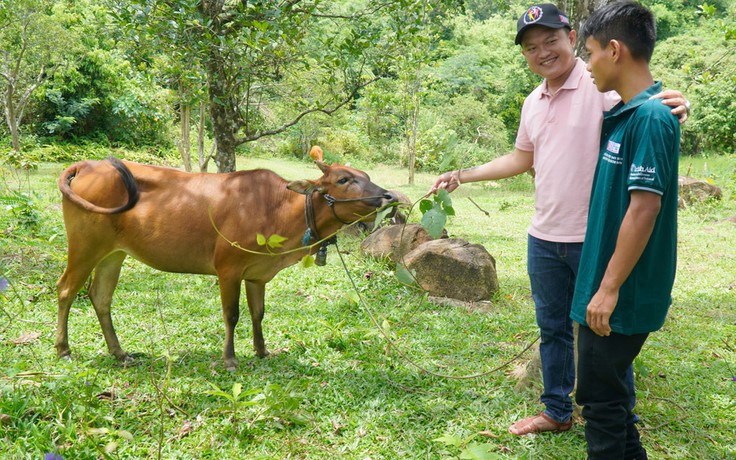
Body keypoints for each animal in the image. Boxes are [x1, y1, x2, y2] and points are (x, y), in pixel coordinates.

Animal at [56, 151, 396, 370]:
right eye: (343, 179)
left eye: (366, 176)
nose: (388, 196)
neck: (278, 207)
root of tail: (87, 165)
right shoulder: (228, 269)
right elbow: (232, 315)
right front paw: (230, 358)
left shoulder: (257, 274)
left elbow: (258, 314)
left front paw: (262, 350)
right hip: (85, 246)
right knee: (66, 290)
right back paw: (63, 349)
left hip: (114, 253)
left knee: (100, 297)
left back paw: (119, 353)